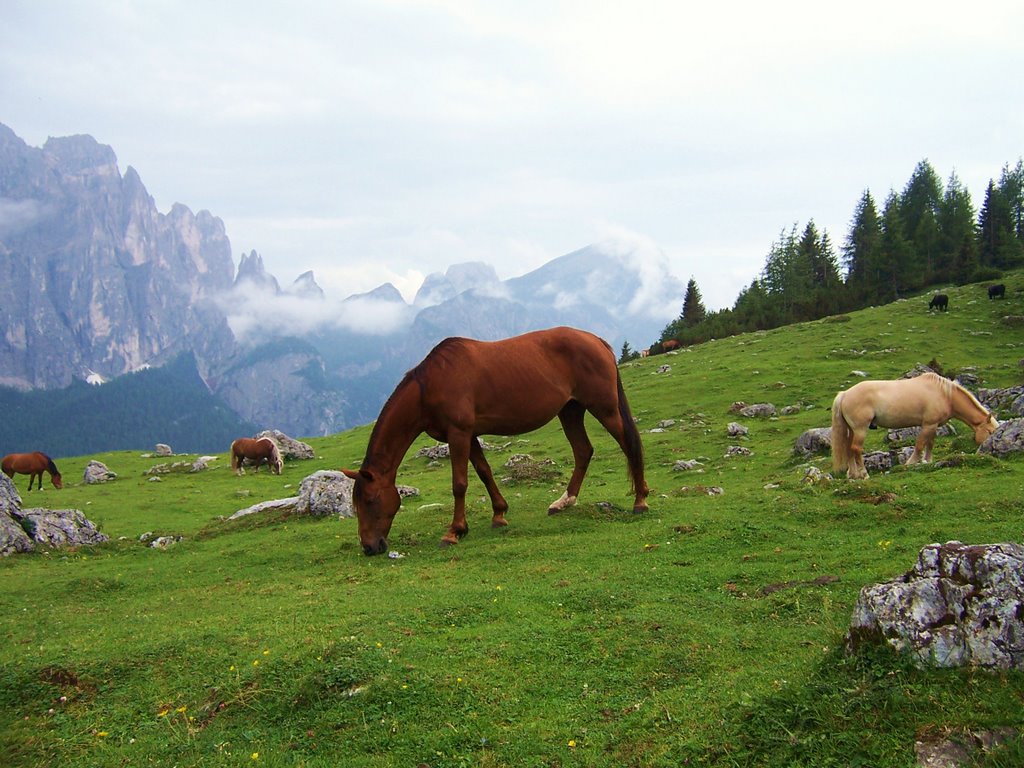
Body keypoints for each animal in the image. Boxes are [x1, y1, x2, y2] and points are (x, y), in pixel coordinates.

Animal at [342, 327, 647, 557]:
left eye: (370, 500)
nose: (369, 547)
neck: (429, 387)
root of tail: (596, 340)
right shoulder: (469, 436)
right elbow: (485, 472)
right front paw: (499, 514)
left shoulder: (458, 434)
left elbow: (459, 484)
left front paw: (454, 531)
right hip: (570, 411)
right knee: (583, 451)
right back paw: (564, 502)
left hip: (604, 408)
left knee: (629, 445)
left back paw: (640, 501)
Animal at [831, 370, 999, 479]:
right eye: (990, 432)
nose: (985, 452)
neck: (945, 394)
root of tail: (845, 394)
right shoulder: (928, 424)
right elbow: (919, 444)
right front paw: (910, 463)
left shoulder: (933, 425)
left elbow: (930, 444)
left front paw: (928, 461)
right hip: (860, 429)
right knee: (856, 449)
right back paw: (864, 474)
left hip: (852, 430)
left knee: (849, 449)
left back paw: (853, 475)